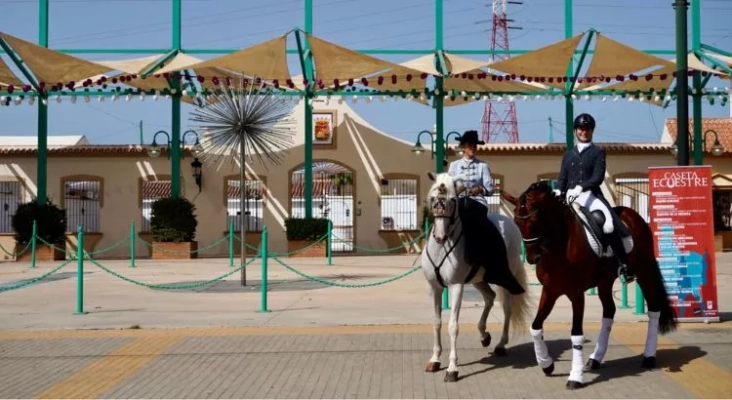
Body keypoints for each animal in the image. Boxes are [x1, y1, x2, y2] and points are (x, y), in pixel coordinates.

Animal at [420, 171, 528, 382]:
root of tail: (509, 222)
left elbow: (453, 326)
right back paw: (484, 336)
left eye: (453, 200)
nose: (440, 237)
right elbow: (437, 323)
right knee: (489, 298)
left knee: (507, 308)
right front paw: (435, 360)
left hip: (504, 278)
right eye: (433, 198)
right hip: (479, 279)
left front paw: (452, 369)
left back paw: (501, 345)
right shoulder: (434, 287)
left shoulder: (456, 286)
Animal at [506, 182, 676, 390]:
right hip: (605, 282)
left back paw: (649, 357)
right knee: (609, 311)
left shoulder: (577, 294)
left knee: (653, 309)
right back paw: (596, 358)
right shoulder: (550, 290)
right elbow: (535, 327)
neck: (560, 245)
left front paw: (575, 377)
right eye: (517, 222)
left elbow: (576, 335)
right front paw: (546, 363)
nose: (533, 258)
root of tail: (632, 214)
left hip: (644, 271)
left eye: (537, 219)